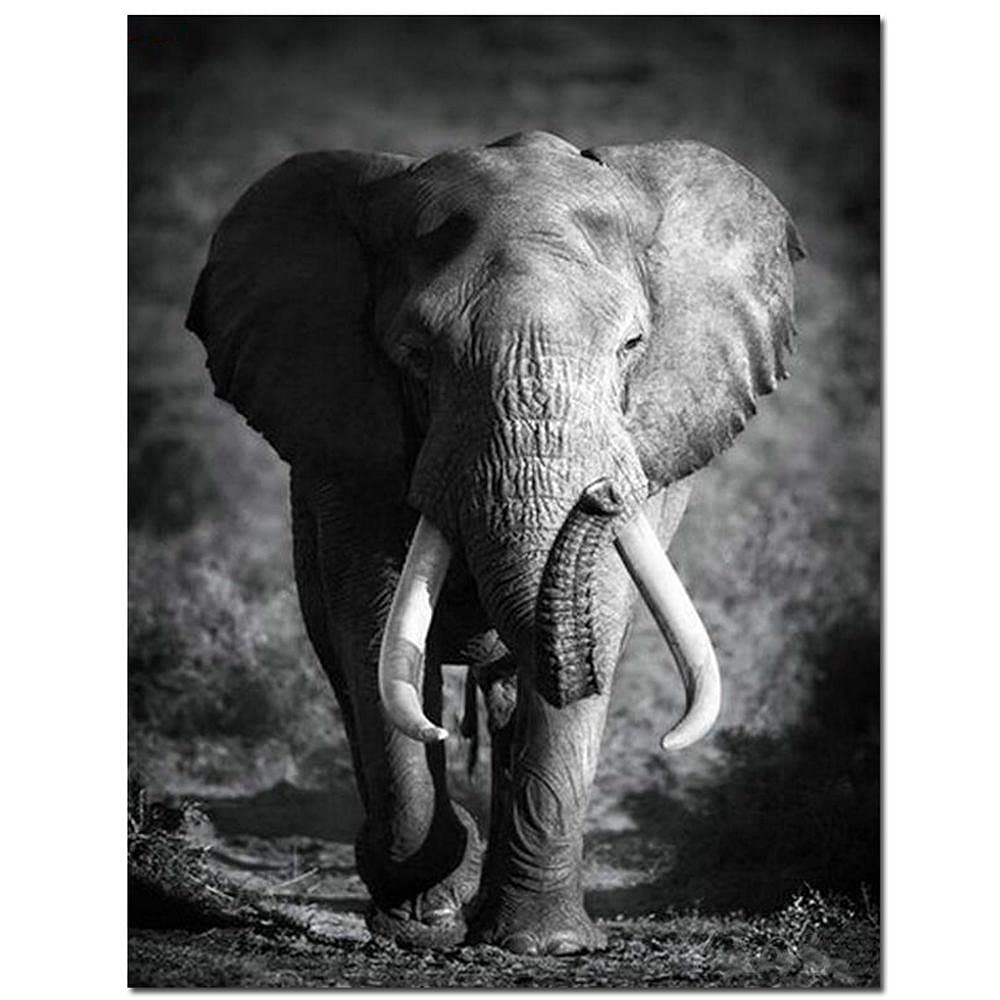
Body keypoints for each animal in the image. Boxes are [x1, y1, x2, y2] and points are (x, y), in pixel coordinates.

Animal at [186, 130, 804, 955]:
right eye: (416, 354)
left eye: (632, 345)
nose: (602, 494)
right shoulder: (345, 442)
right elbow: (374, 624)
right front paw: (422, 922)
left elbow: (599, 613)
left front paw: (545, 946)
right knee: (348, 664)